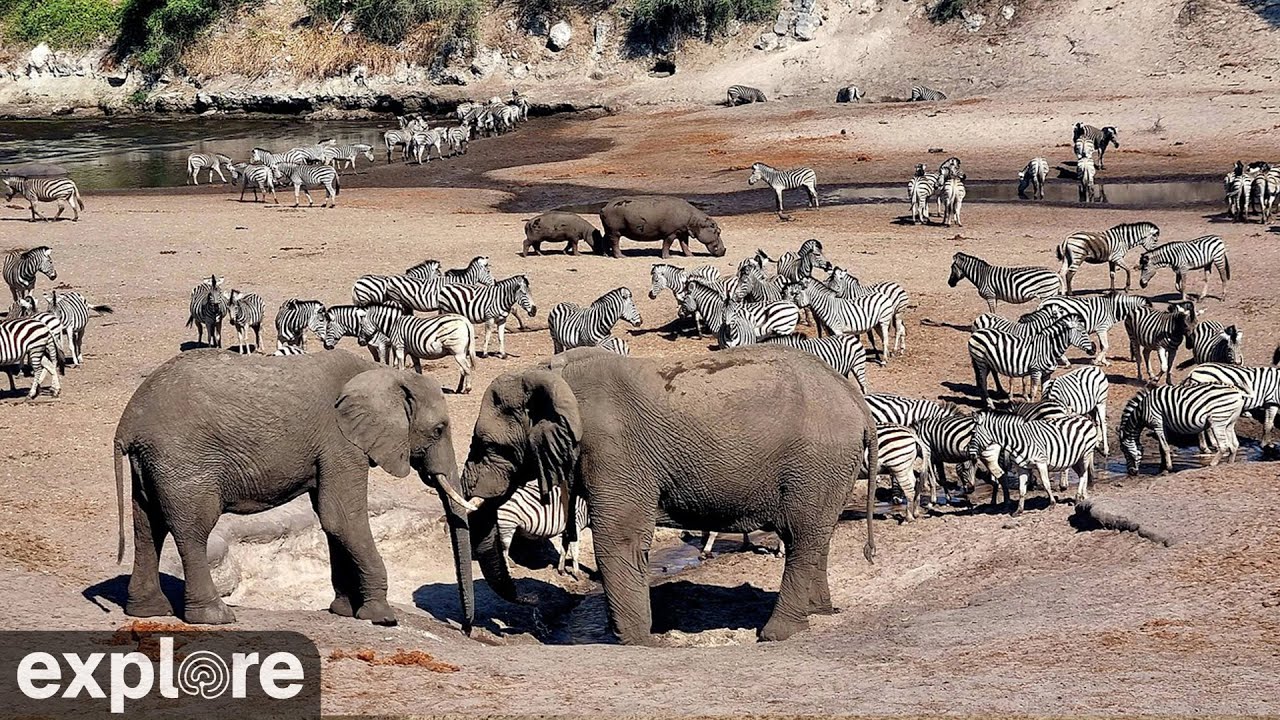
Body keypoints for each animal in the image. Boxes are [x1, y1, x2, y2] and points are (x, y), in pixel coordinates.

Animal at [968, 412, 1099, 513]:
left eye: (973, 433)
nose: (969, 453)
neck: (1017, 441)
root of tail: (1084, 418)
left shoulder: (1041, 462)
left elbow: (1046, 484)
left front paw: (1052, 504)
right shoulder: (1022, 467)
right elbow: (1022, 489)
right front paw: (1019, 510)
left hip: (1086, 454)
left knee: (1083, 474)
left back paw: (1078, 497)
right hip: (1075, 459)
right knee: (1083, 474)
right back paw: (1083, 496)